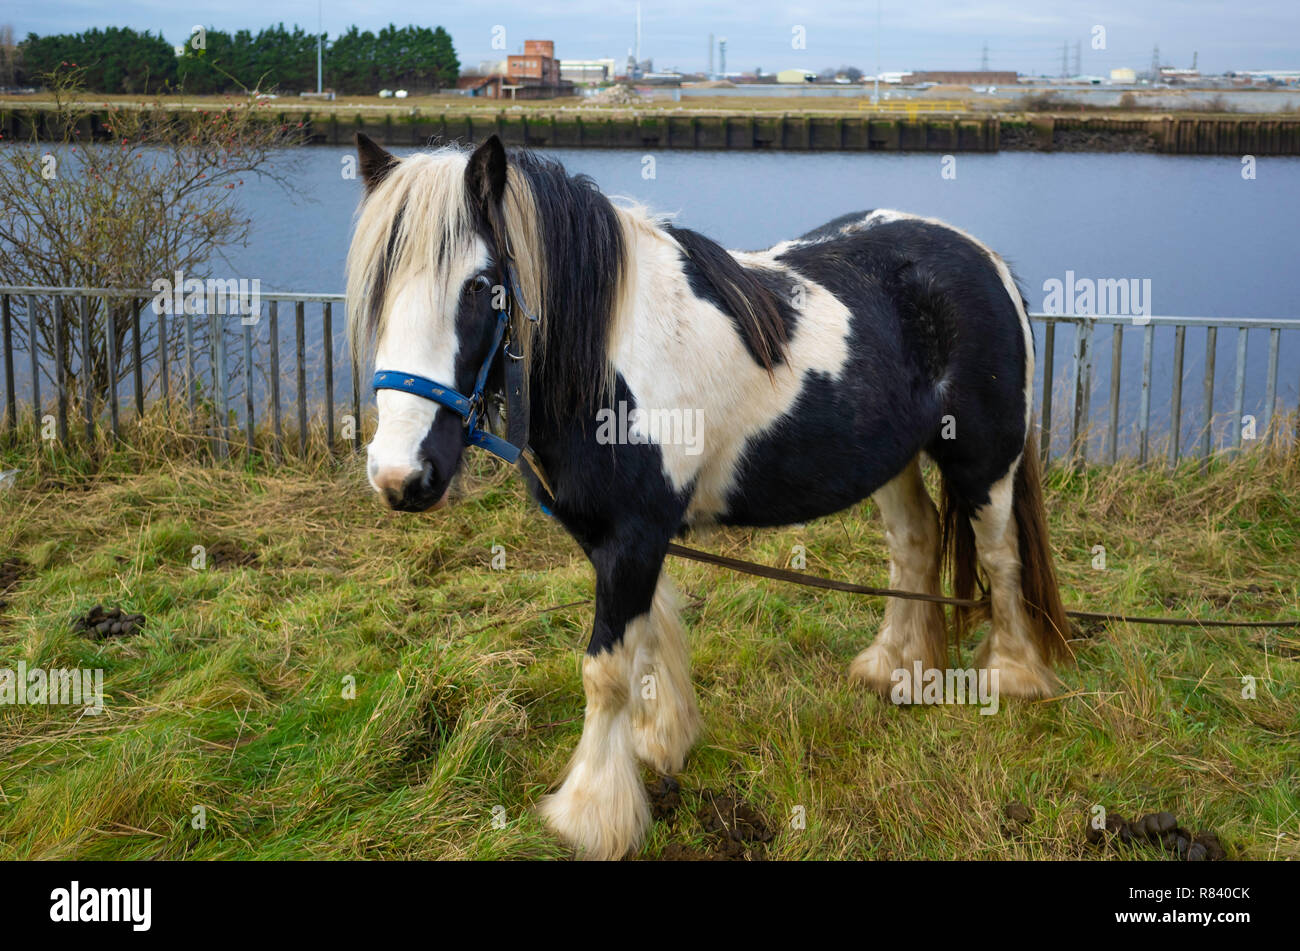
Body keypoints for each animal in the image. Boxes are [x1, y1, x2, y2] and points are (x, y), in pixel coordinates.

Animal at [345, 131, 1066, 862]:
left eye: (481, 286)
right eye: (379, 289)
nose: (401, 475)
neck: (609, 358)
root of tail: (983, 257)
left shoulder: (634, 537)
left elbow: (606, 670)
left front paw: (592, 816)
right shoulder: (622, 537)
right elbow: (652, 637)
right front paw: (663, 742)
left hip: (985, 463)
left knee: (1001, 558)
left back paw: (1013, 677)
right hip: (891, 461)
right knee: (915, 541)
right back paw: (894, 668)